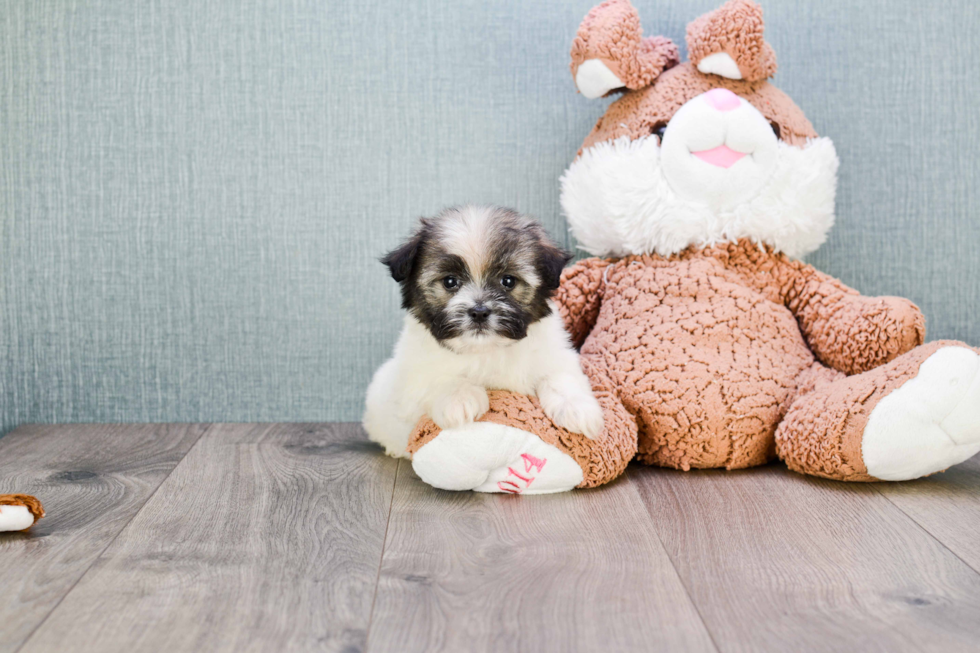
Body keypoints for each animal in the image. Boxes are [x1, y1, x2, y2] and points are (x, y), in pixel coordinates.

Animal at [362, 205, 600, 458]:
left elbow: (560, 376)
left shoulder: (555, 354)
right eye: (450, 282)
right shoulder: (412, 378)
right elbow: (437, 377)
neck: (486, 350)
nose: (479, 312)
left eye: (508, 281)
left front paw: (577, 409)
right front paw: (459, 399)